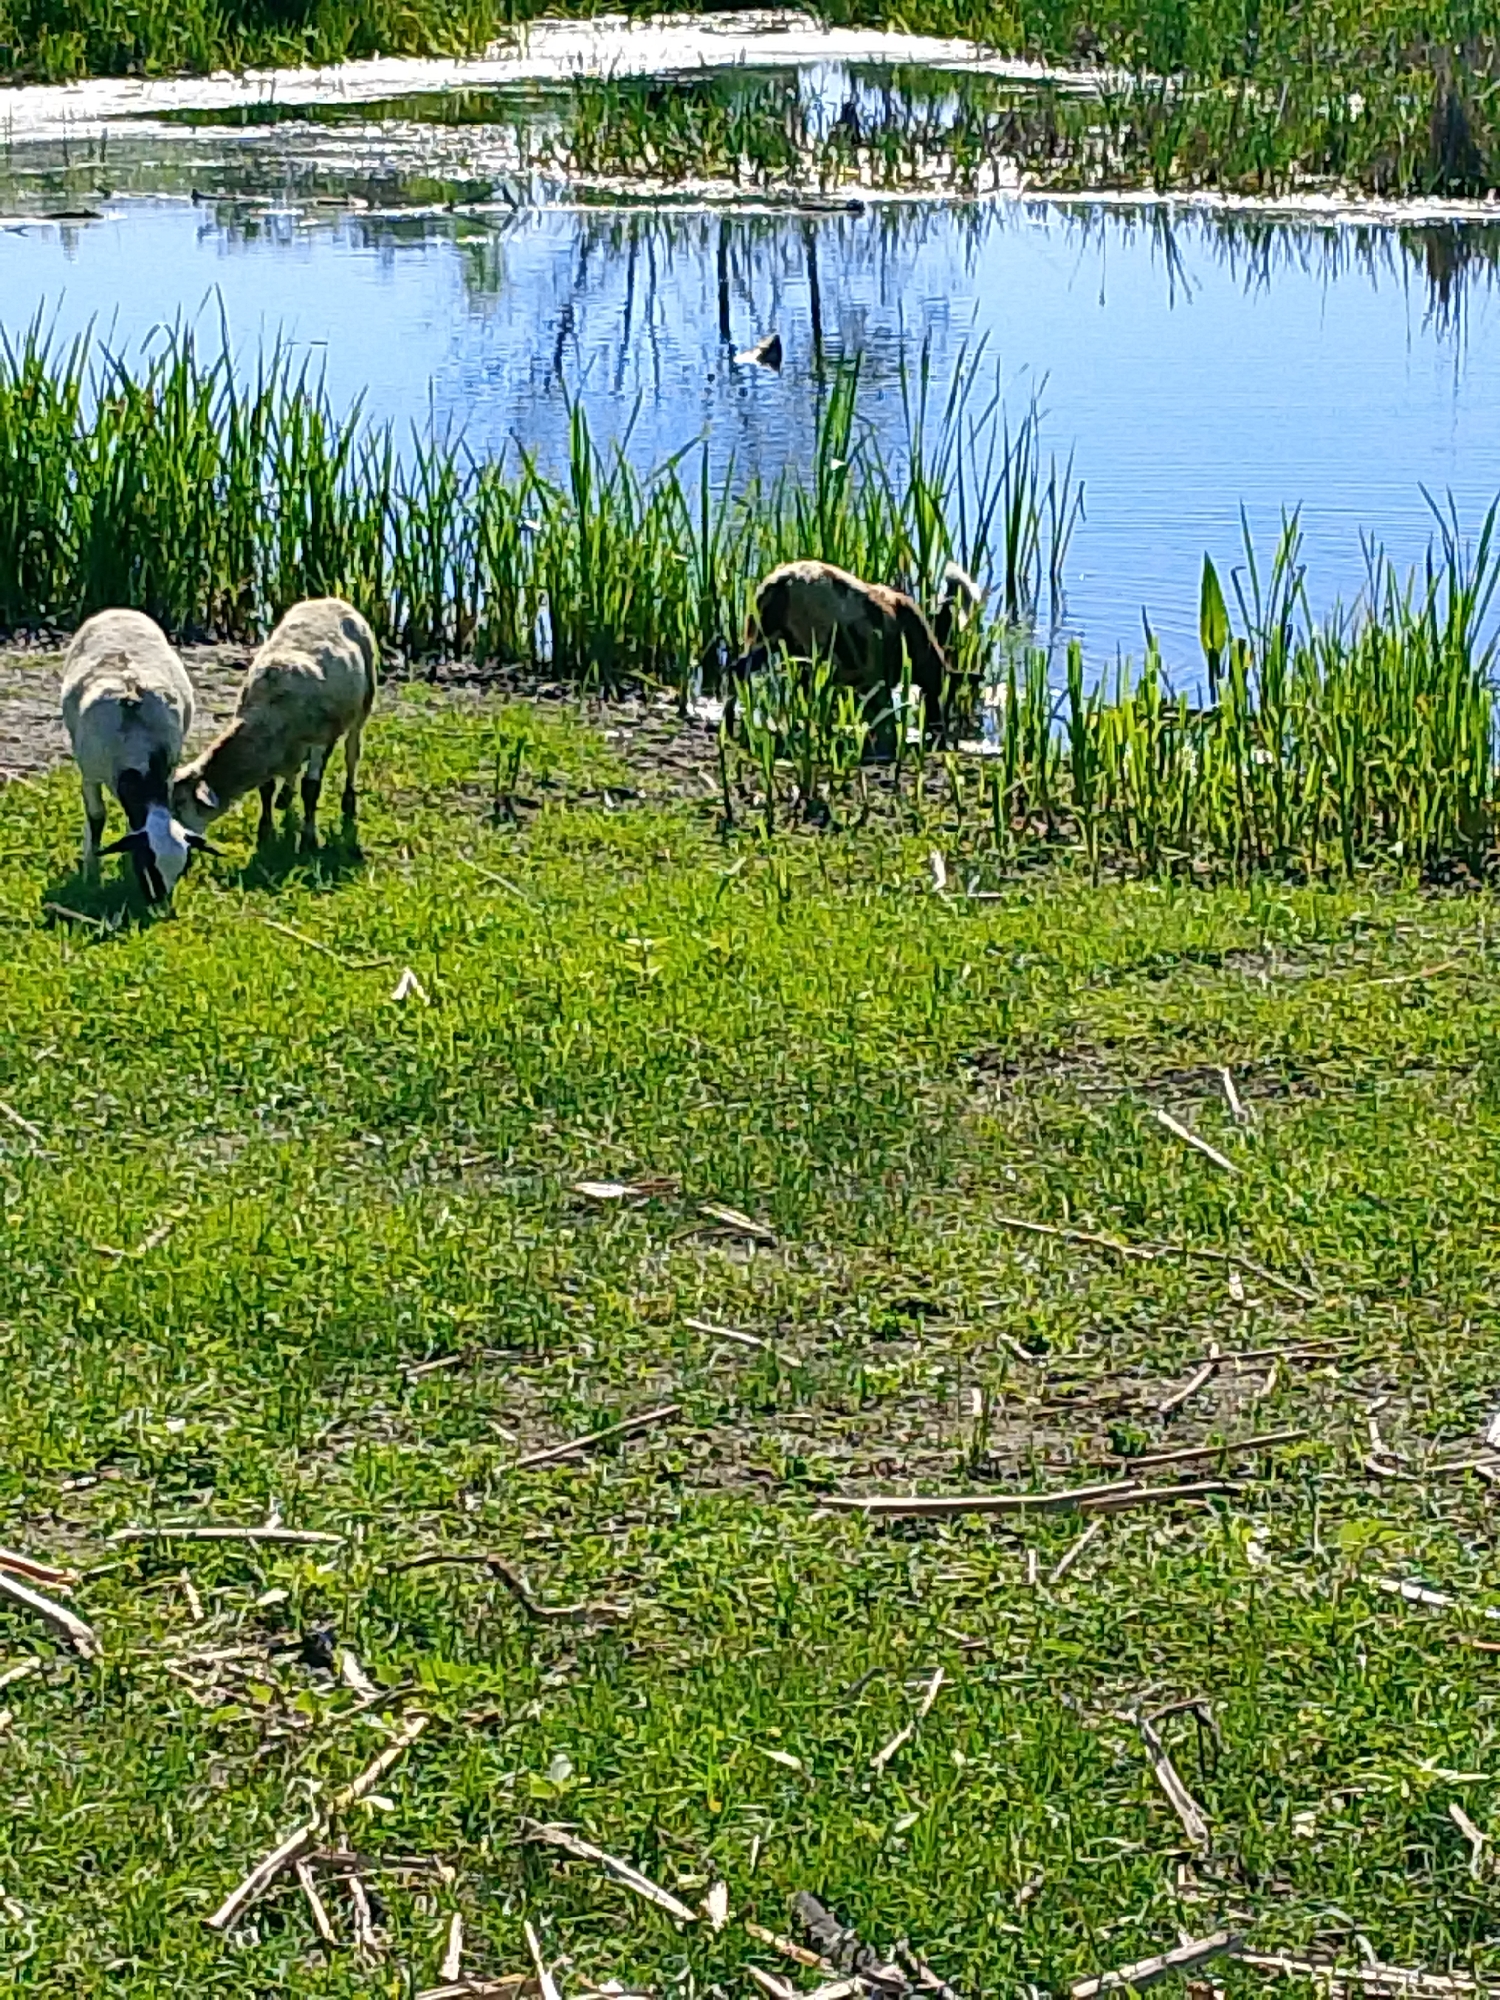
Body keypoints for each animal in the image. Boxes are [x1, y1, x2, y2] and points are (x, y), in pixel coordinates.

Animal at [59, 608, 216, 904]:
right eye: (147, 862)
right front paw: (91, 876)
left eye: (182, 868)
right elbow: (96, 817)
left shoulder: (168, 769)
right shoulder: (90, 774)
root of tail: (119, 610)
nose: (158, 906)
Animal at [172, 597, 378, 852]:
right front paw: (265, 830)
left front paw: (308, 839)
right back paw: (285, 796)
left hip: (363, 704)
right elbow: (266, 789)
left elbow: (310, 789)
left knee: (352, 752)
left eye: (180, 805)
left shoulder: (317, 740)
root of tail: (331, 599)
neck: (268, 712)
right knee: (295, 768)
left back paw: (349, 800)